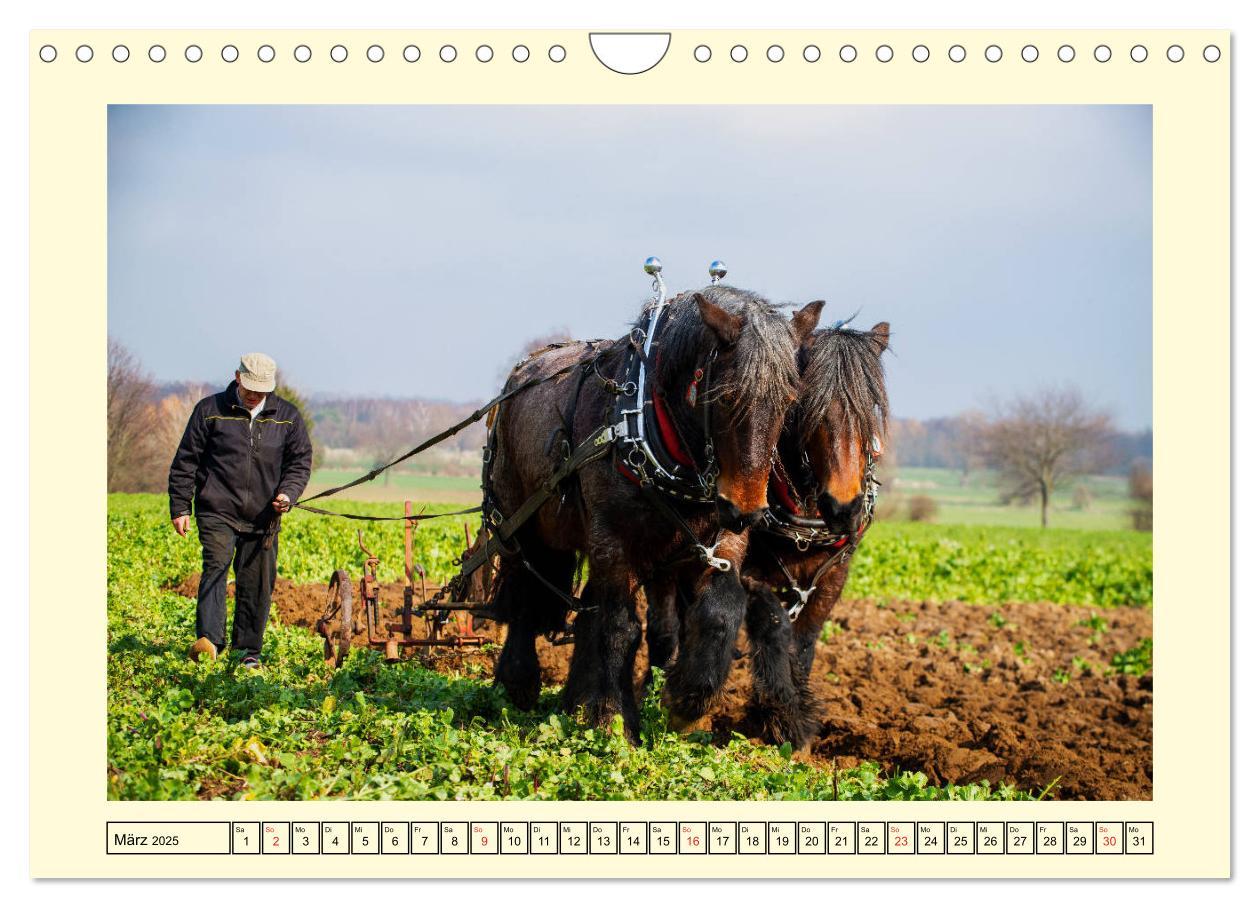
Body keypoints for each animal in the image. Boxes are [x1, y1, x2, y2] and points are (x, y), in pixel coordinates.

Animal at [478, 287, 816, 740]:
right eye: (726, 396)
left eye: (789, 401)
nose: (747, 510)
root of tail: (519, 377)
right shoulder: (614, 540)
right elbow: (620, 627)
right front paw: (613, 718)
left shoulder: (719, 542)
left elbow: (720, 613)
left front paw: (687, 703)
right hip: (521, 523)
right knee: (524, 594)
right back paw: (517, 684)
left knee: (585, 609)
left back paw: (572, 702)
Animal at [645, 322, 892, 745]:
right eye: (806, 406)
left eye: (871, 407)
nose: (844, 507)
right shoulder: (744, 569)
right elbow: (774, 621)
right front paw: (783, 711)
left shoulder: (832, 579)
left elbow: (804, 643)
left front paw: (795, 717)